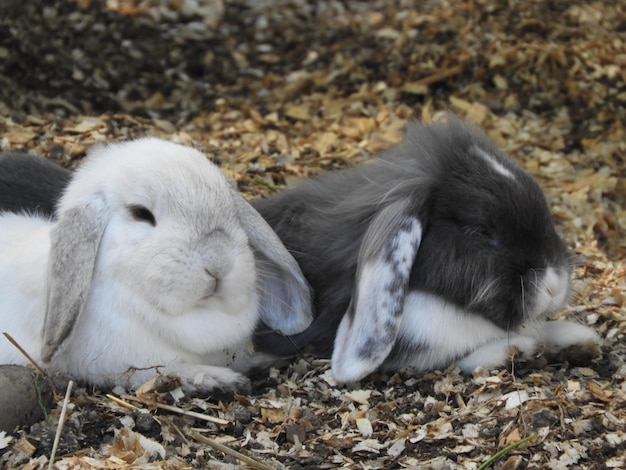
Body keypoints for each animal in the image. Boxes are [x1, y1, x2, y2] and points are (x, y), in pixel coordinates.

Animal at [0, 139, 312, 392]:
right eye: (141, 213)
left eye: (231, 209)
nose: (218, 263)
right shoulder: (120, 365)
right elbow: (162, 372)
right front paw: (217, 379)